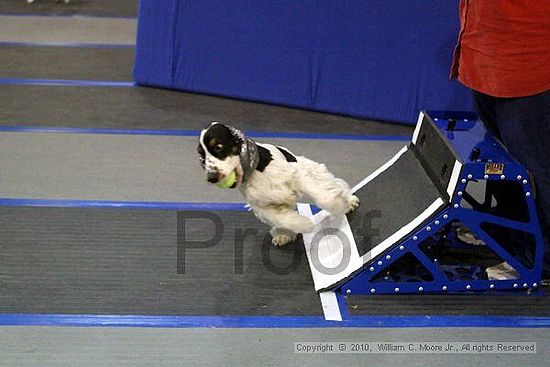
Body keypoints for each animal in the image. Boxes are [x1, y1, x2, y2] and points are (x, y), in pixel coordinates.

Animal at [199, 123, 362, 247]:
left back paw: (350, 201)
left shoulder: (297, 176)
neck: (256, 171)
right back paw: (283, 235)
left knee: (334, 184)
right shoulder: (261, 206)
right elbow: (280, 218)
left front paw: (339, 206)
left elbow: (322, 196)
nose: (211, 177)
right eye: (202, 157)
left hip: (313, 169)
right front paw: (302, 225)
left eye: (218, 147)